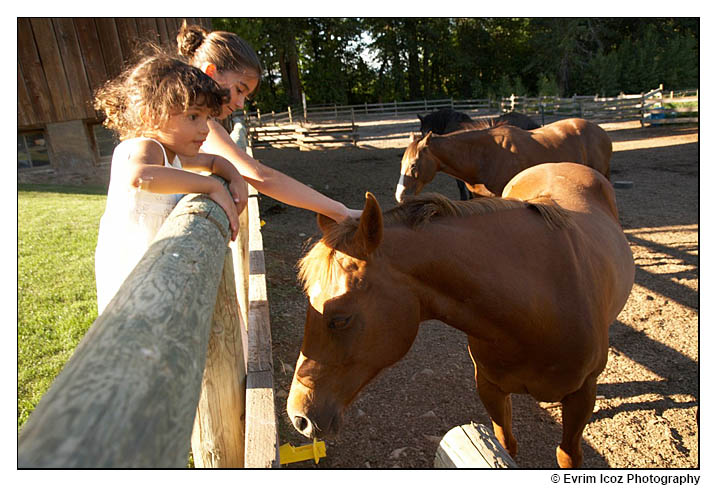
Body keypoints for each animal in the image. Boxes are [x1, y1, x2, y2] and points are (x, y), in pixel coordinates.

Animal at [286, 162, 636, 468]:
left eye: (340, 319)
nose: (298, 417)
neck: (537, 309)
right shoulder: (489, 386)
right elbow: (504, 446)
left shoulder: (581, 396)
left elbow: (567, 456)